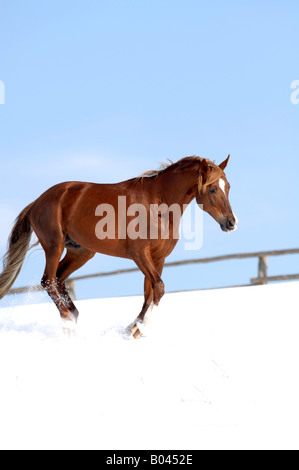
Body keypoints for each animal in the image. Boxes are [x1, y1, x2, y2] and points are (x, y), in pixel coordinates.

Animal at [0, 156, 239, 336]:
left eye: (227, 187)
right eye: (212, 190)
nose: (231, 223)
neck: (158, 204)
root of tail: (37, 202)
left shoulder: (158, 258)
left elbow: (150, 293)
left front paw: (133, 328)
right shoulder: (140, 254)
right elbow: (159, 288)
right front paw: (140, 326)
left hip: (80, 251)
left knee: (58, 280)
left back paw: (73, 319)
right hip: (54, 246)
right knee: (48, 281)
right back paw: (67, 319)